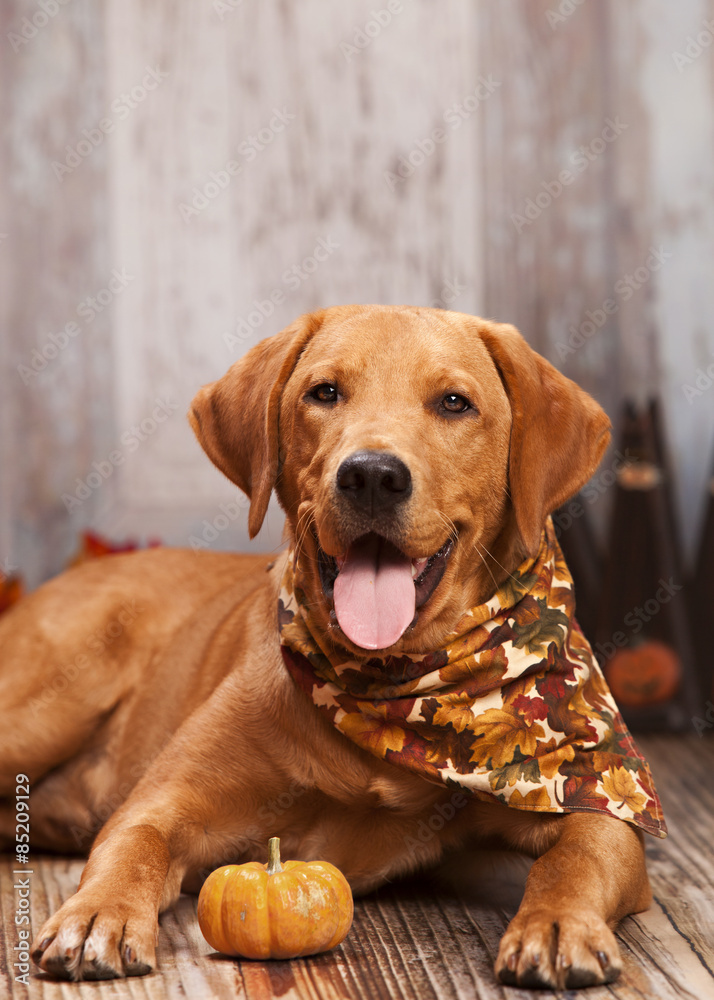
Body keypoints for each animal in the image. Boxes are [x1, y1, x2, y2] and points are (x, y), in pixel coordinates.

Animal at [0, 306, 660, 992]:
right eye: (324, 393)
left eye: (454, 403)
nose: (371, 474)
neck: (393, 682)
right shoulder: (159, 802)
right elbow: (133, 846)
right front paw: (97, 914)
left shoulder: (596, 796)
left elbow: (578, 855)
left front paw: (554, 925)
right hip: (44, 710)